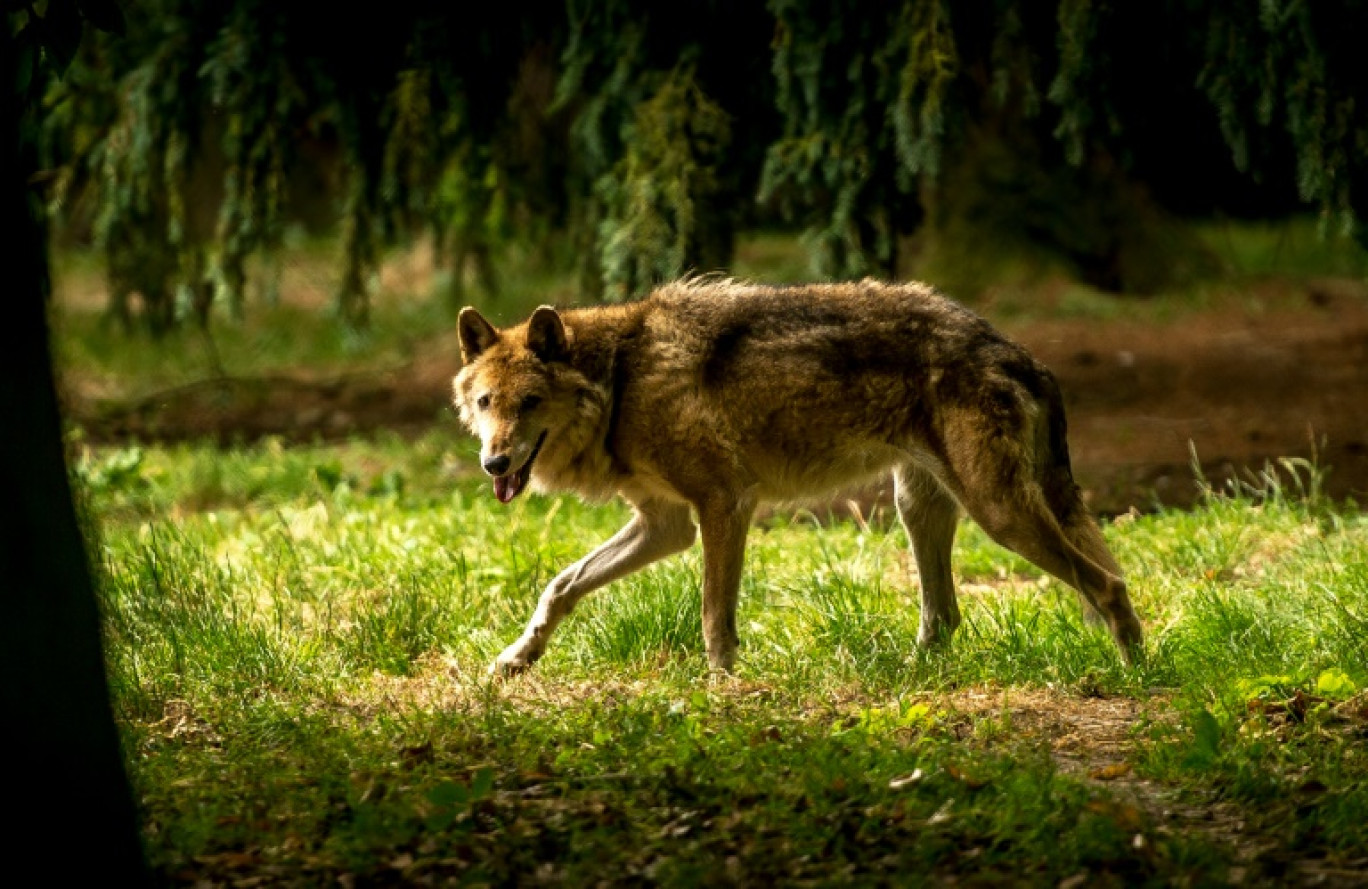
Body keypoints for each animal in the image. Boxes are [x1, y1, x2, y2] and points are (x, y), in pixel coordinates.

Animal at [451, 276, 1143, 672]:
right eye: (486, 403)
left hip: (997, 514)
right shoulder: (666, 524)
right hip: (920, 508)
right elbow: (561, 585)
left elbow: (713, 614)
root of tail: (1017, 351)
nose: (494, 463)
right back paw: (906, 675)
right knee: (946, 617)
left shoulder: (724, 504)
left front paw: (721, 685)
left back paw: (1135, 673)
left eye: (529, 404)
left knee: (1108, 583)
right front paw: (517, 657)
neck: (620, 380)